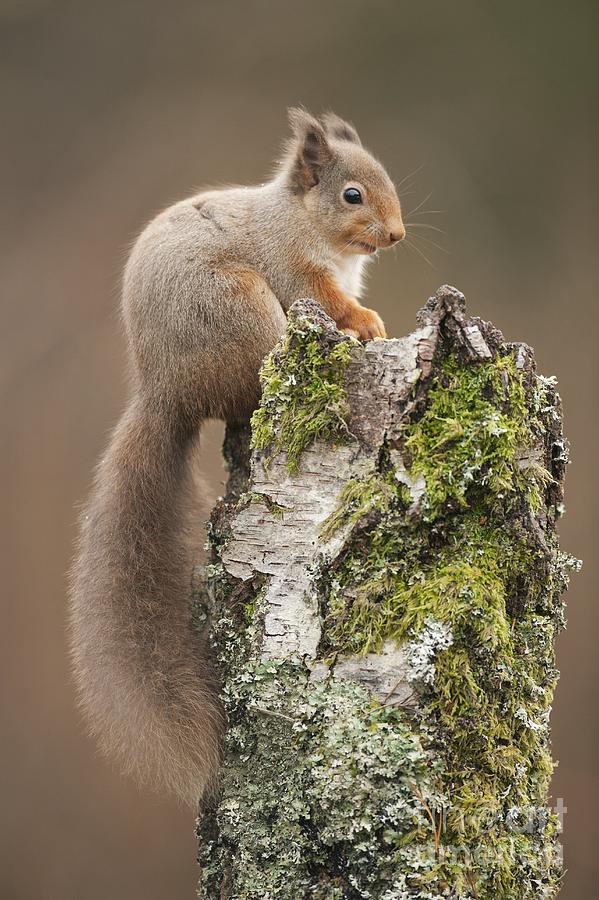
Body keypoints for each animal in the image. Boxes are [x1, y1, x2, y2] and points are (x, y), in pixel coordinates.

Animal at [70, 109, 408, 804]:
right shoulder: (294, 270)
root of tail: (168, 391)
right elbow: (329, 302)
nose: (397, 234)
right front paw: (365, 322)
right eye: (351, 195)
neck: (304, 220)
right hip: (245, 312)